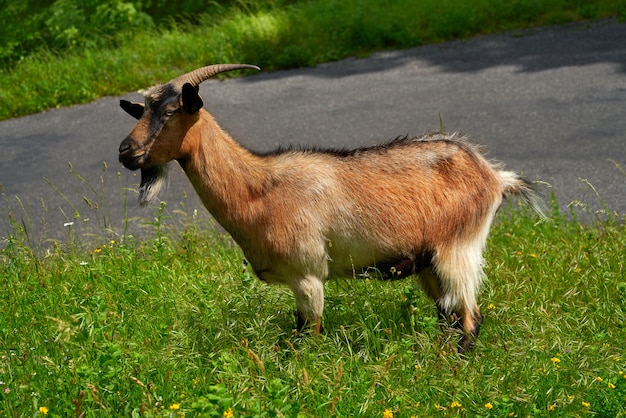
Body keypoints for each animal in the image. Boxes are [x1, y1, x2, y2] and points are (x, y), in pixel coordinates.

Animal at [117, 64, 540, 352]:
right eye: (142, 111)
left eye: (171, 112)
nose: (125, 152)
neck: (259, 189)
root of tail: (494, 176)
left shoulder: (307, 274)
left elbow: (309, 335)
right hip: (428, 261)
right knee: (449, 315)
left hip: (457, 248)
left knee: (469, 318)